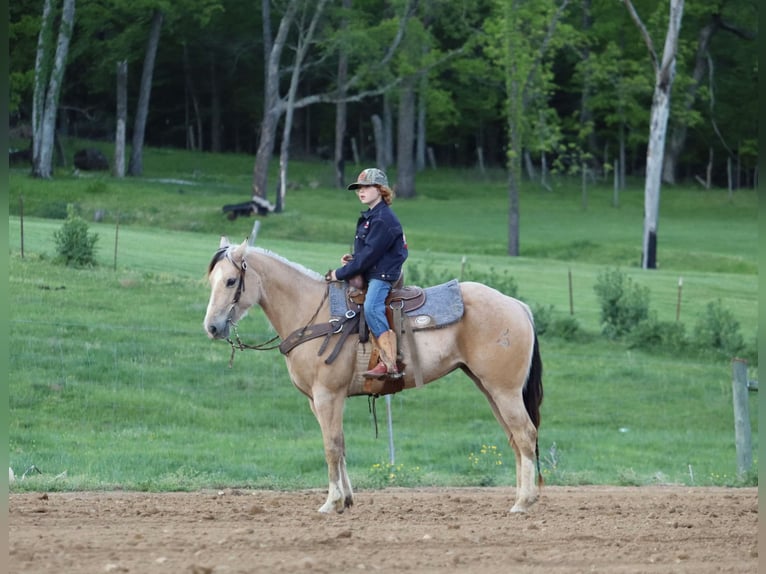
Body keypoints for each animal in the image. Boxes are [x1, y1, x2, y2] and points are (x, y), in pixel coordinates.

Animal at [201, 236, 544, 516]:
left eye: (231, 281)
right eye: (212, 281)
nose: (212, 327)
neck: (315, 315)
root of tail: (518, 306)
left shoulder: (328, 395)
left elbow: (331, 446)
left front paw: (331, 502)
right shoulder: (317, 400)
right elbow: (340, 445)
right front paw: (346, 499)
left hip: (504, 390)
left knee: (525, 434)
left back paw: (523, 502)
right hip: (489, 388)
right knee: (515, 439)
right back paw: (519, 497)